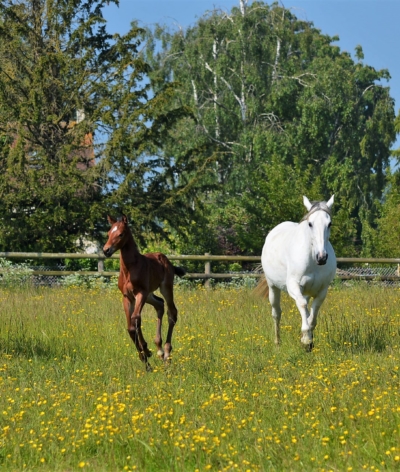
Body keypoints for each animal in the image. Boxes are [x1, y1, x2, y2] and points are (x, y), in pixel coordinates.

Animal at [102, 215, 185, 372]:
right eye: (108, 233)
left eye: (120, 234)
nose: (106, 250)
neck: (130, 269)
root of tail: (165, 259)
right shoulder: (127, 297)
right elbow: (131, 326)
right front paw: (146, 358)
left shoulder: (140, 293)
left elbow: (135, 319)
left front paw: (146, 351)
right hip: (150, 295)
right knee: (159, 305)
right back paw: (159, 349)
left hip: (164, 288)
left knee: (172, 312)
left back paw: (166, 354)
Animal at [258, 195, 336, 350]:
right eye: (310, 224)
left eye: (329, 224)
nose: (321, 257)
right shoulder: (293, 286)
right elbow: (302, 305)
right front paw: (306, 339)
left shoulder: (322, 291)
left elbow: (311, 316)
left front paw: (308, 340)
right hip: (273, 287)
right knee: (276, 313)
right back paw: (277, 343)